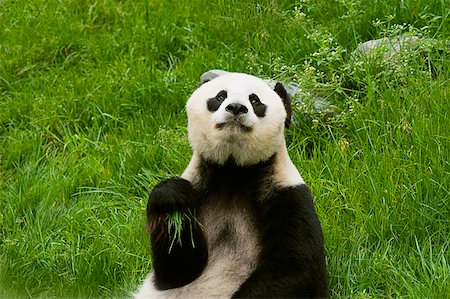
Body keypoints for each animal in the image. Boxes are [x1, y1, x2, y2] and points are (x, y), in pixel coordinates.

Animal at [134, 71, 326, 298]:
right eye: (220, 96)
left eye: (255, 100)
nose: (235, 107)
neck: (233, 171)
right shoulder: (199, 185)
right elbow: (176, 271)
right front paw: (172, 195)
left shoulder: (288, 195)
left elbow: (292, 270)